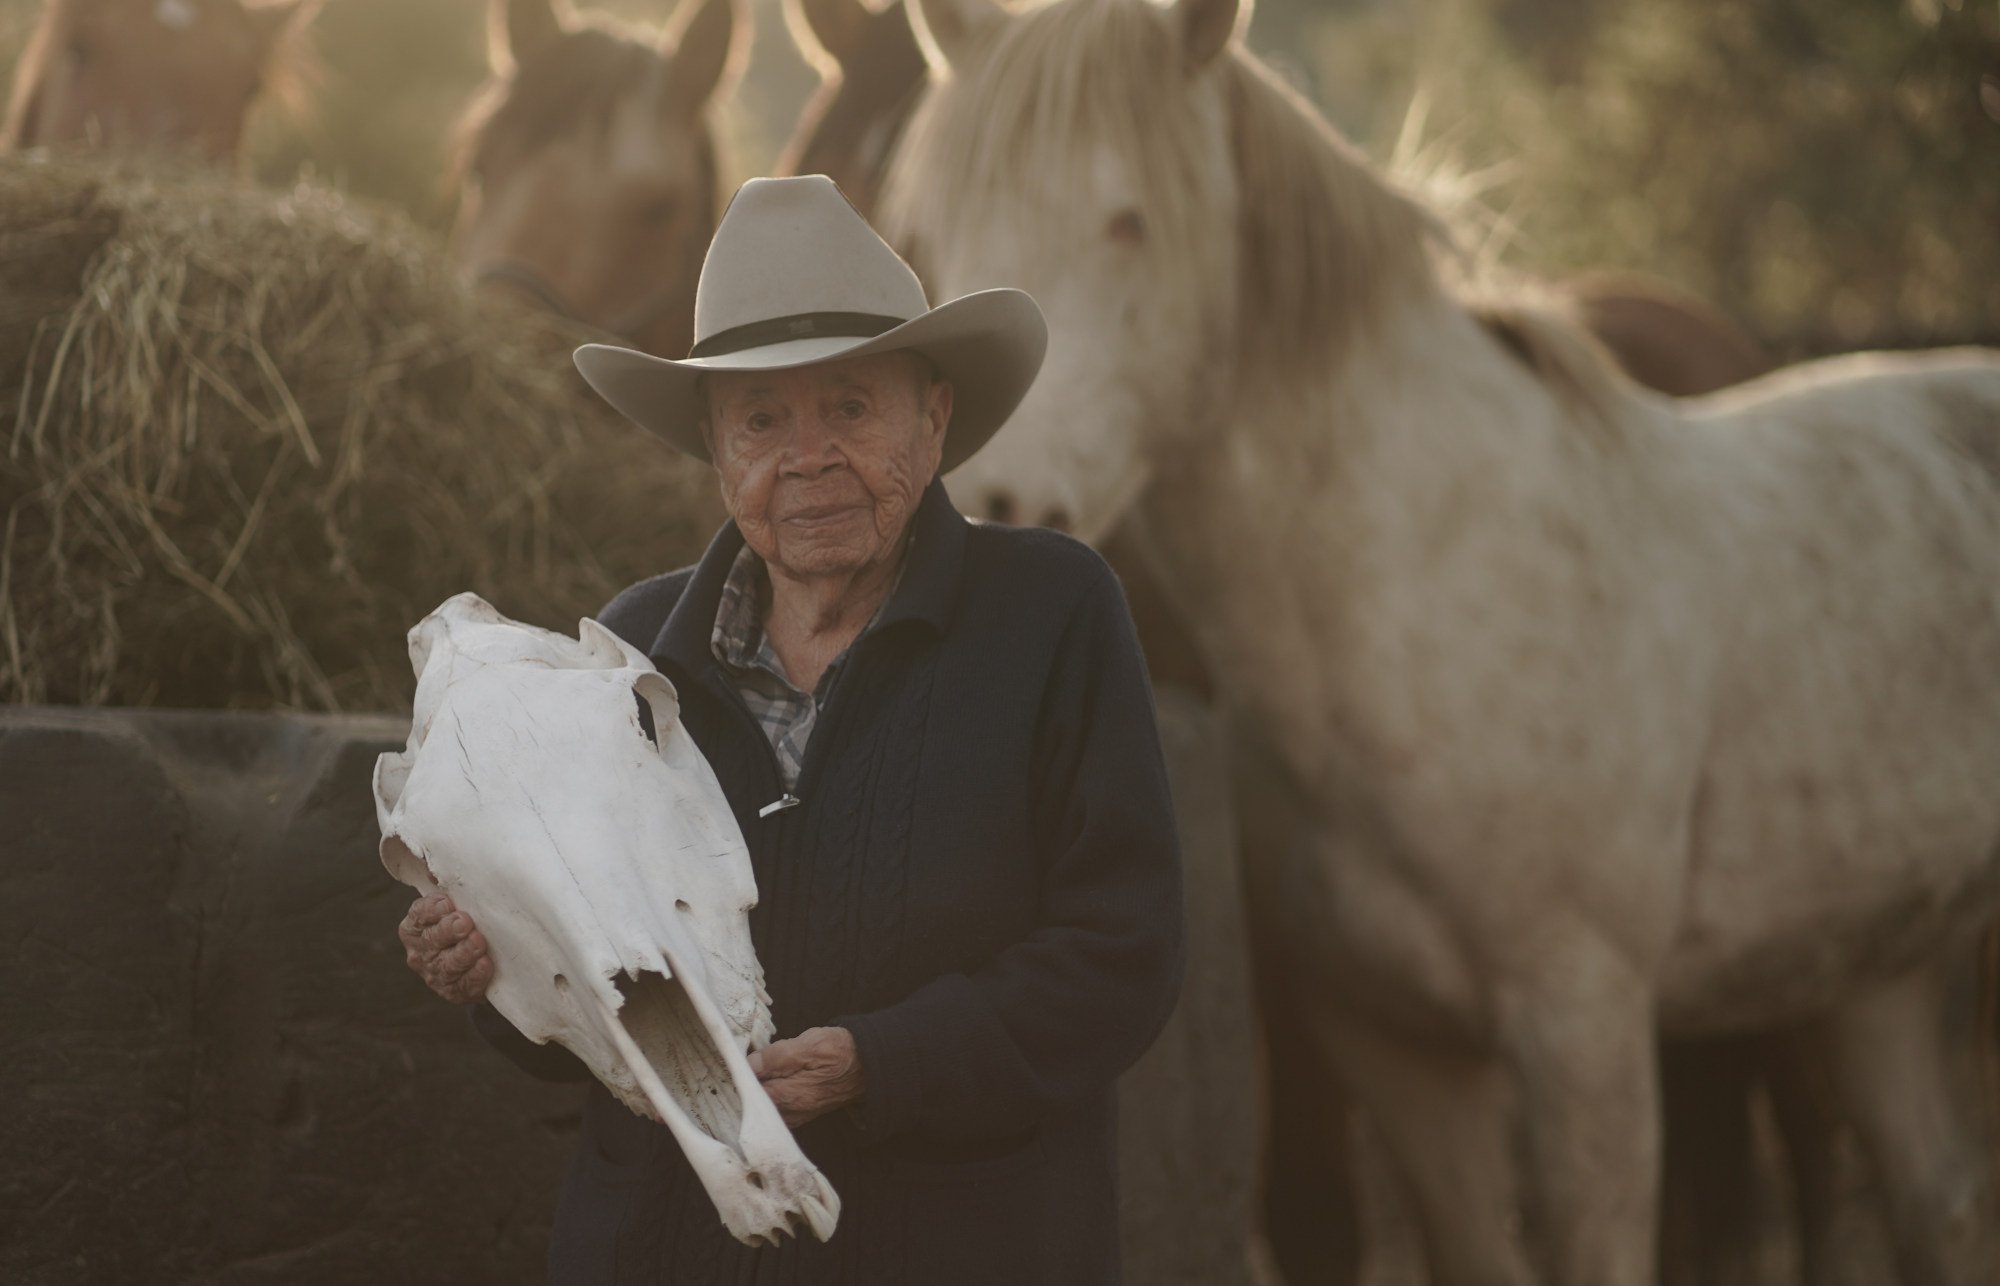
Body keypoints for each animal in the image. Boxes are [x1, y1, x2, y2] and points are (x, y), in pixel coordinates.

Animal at [886, 1, 2000, 1284]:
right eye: (929, 236)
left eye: (1127, 219)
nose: (991, 503)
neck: (1419, 591)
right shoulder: (1394, 1049)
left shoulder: (1584, 1029)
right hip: (1876, 975)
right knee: (1936, 1200)